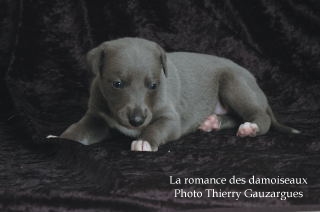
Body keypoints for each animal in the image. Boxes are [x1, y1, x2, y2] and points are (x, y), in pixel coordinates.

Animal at [58, 37, 300, 152]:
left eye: (153, 85)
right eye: (117, 84)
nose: (136, 120)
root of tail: (254, 82)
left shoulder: (170, 118)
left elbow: (158, 126)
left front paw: (145, 141)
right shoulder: (96, 115)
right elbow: (79, 129)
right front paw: (61, 139)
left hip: (234, 83)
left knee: (258, 115)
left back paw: (251, 127)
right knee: (234, 116)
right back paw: (212, 122)